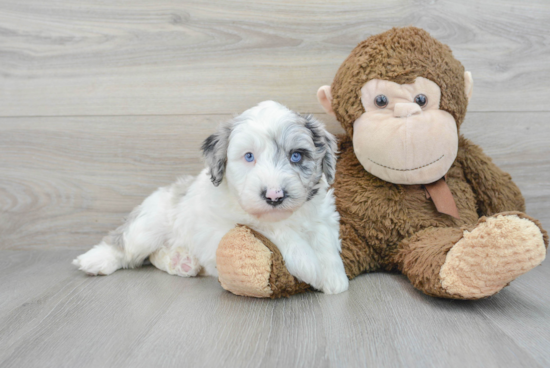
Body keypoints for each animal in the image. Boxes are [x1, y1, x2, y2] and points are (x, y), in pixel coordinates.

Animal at [72, 100, 350, 294]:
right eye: (249, 156)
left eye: (296, 156)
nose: (274, 196)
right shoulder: (229, 224)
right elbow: (274, 230)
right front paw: (310, 264)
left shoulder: (324, 215)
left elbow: (324, 238)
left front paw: (335, 277)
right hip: (148, 225)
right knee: (124, 245)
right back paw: (95, 260)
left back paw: (181, 262)